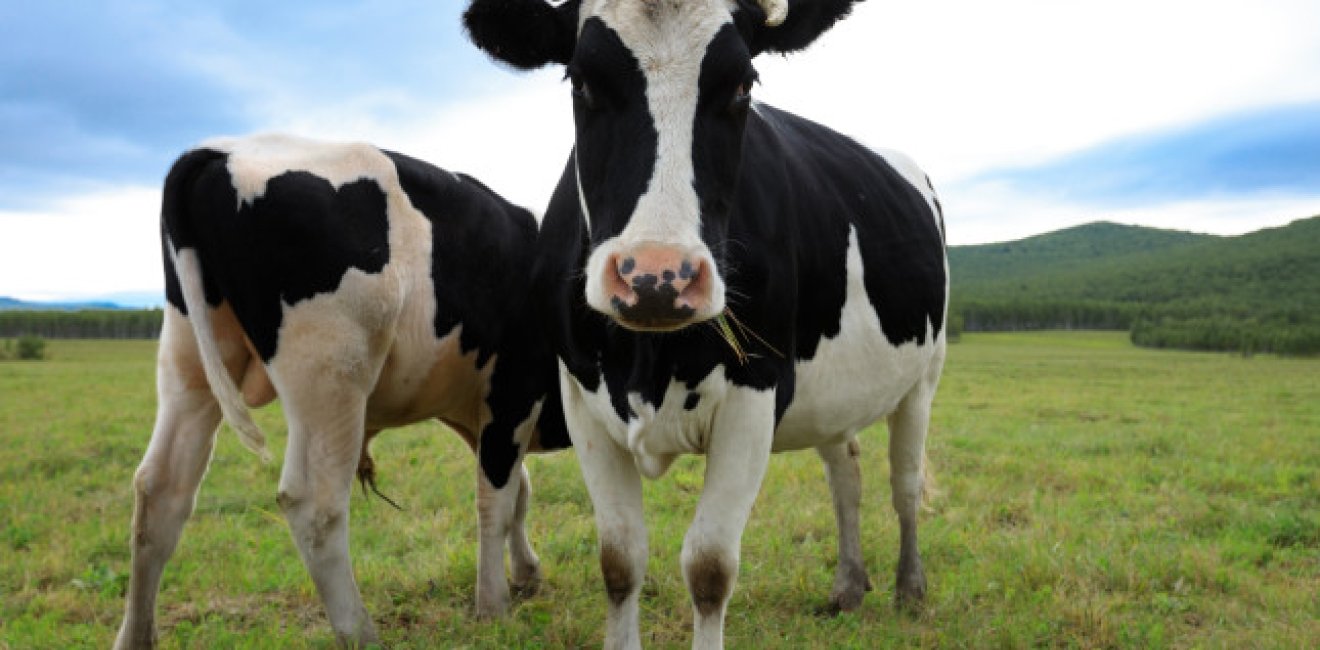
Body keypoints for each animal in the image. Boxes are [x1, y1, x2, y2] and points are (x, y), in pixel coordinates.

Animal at [114, 134, 567, 647]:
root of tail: (220, 151)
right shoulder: (514, 390)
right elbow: (497, 501)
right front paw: (494, 606)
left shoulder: (483, 412)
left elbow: (518, 490)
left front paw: (526, 574)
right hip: (331, 376)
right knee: (314, 505)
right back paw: (360, 632)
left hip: (189, 363)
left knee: (160, 490)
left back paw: (135, 636)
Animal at [469, 0, 945, 647]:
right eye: (582, 81)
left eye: (743, 85)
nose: (656, 276)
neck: (646, 362)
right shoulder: (580, 397)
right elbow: (619, 560)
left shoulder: (755, 393)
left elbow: (710, 566)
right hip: (834, 391)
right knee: (845, 472)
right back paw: (848, 586)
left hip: (924, 376)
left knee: (905, 483)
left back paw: (909, 586)